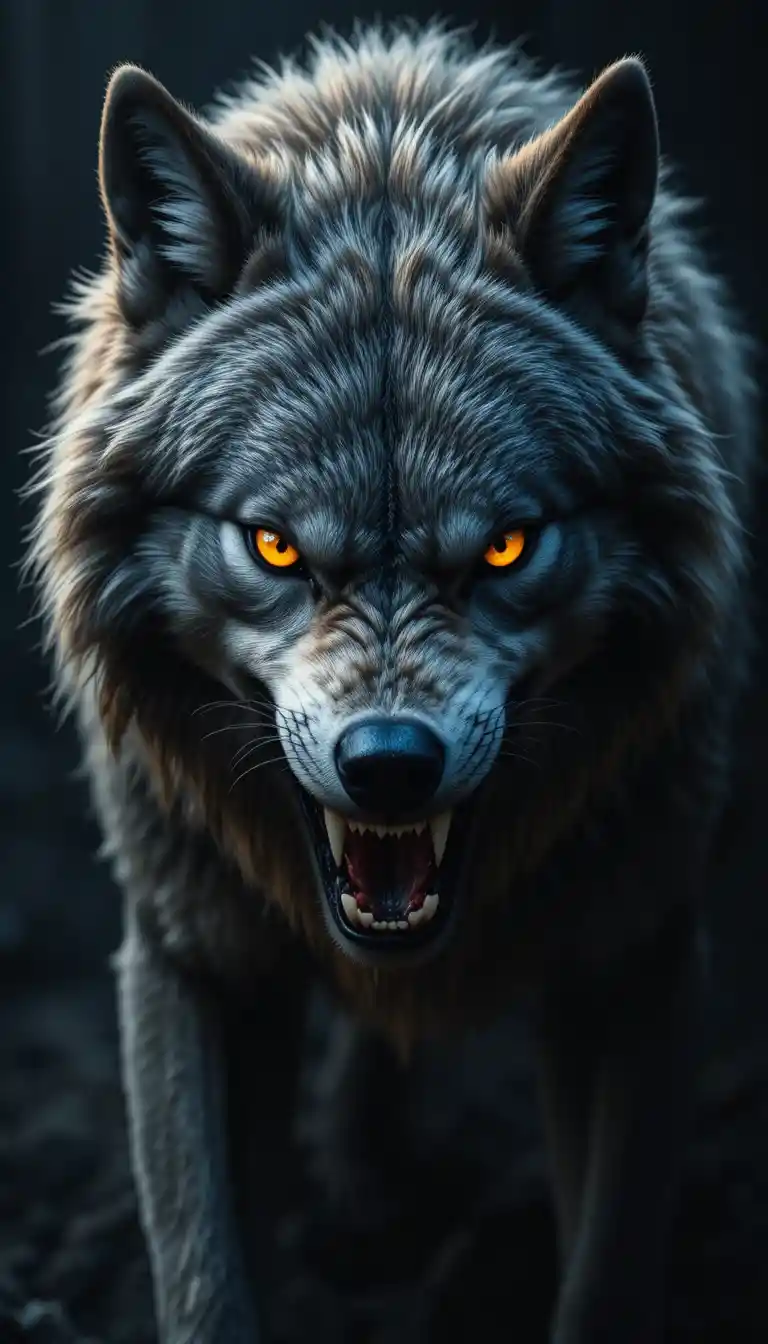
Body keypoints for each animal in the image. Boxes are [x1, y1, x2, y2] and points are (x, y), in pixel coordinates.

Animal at [29, 21, 755, 1344]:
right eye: (275, 549)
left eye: (507, 548)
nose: (389, 766)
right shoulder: (191, 951)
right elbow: (204, 1271)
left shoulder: (638, 956)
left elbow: (609, 1270)